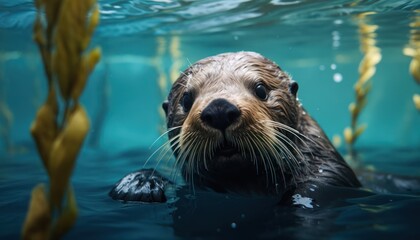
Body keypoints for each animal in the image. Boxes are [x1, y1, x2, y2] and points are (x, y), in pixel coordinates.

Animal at [109, 51, 360, 203]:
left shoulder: (330, 174)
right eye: (186, 100)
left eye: (261, 89)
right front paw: (138, 183)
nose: (219, 109)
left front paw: (299, 200)